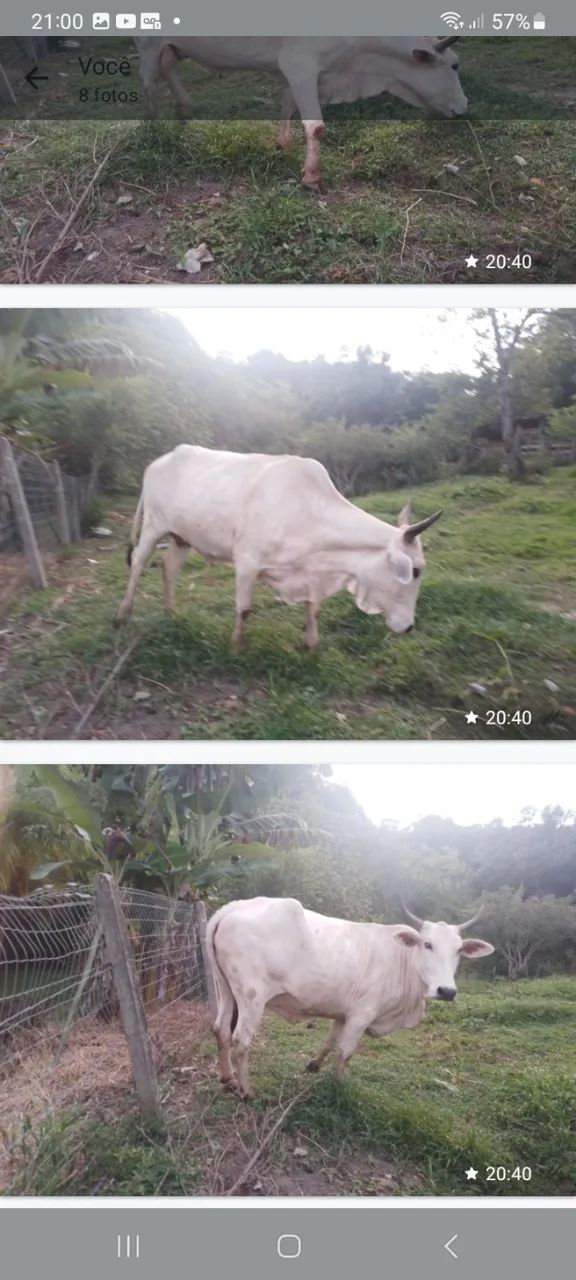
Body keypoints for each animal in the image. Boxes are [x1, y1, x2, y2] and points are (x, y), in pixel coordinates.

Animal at [115, 445, 442, 648]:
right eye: (415, 571)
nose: (409, 627)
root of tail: (161, 460)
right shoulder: (246, 561)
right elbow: (244, 608)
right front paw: (237, 645)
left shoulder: (311, 573)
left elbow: (314, 608)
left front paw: (310, 643)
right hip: (154, 524)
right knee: (139, 562)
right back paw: (123, 613)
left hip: (181, 536)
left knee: (168, 568)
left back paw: (172, 612)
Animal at [136, 36, 467, 185]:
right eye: (454, 65)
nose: (464, 107)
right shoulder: (301, 65)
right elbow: (315, 125)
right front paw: (311, 175)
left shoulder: (299, 73)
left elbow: (288, 105)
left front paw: (282, 142)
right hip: (148, 42)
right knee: (149, 82)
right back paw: (154, 128)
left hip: (174, 46)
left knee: (167, 67)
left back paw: (183, 111)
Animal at [206, 896, 494, 1099]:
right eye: (427, 944)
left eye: (459, 950)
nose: (447, 991)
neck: (402, 960)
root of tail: (233, 908)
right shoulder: (362, 1014)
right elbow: (346, 1052)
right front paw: (340, 1084)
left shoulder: (342, 1013)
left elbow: (330, 1041)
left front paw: (314, 1065)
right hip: (251, 997)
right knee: (240, 1040)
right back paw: (246, 1091)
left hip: (226, 989)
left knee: (220, 1029)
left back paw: (227, 1078)